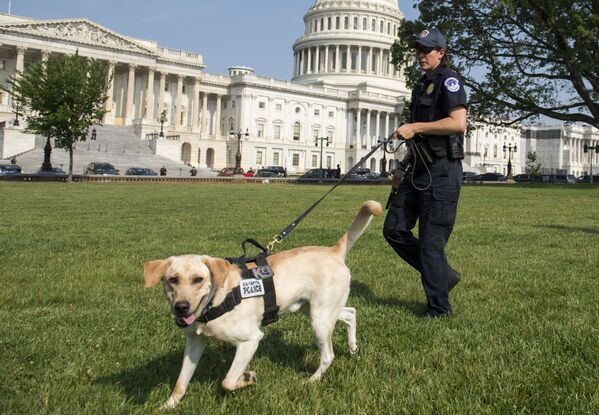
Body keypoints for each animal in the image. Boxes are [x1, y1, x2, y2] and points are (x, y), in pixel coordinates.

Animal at [144, 202, 382, 410]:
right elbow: (180, 382)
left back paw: (312, 380)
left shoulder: (250, 341)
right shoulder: (195, 342)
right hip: (315, 309)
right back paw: (352, 347)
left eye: (198, 279)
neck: (216, 301)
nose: (181, 307)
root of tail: (333, 251)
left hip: (320, 320)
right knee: (350, 312)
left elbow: (227, 381)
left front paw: (247, 378)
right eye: (172, 279)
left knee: (328, 355)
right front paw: (167, 406)